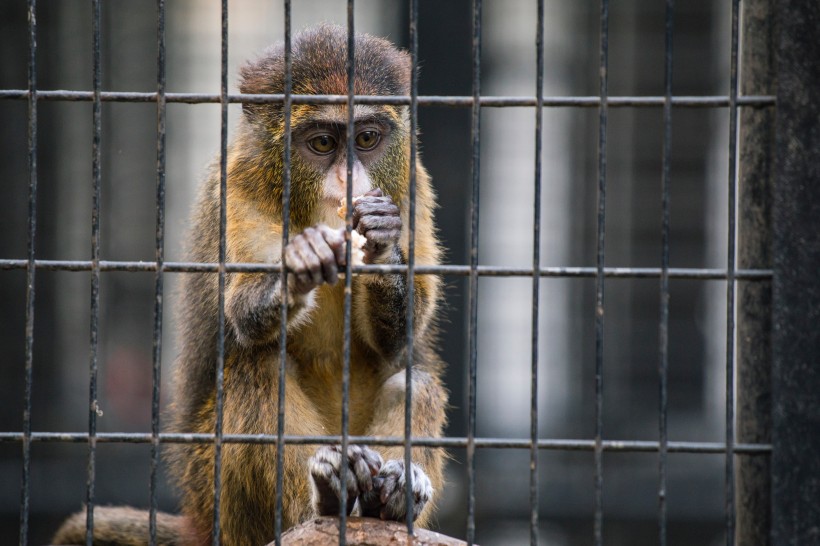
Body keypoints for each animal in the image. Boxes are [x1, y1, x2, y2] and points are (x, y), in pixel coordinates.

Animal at [52, 22, 448, 544]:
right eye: (323, 144)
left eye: (366, 138)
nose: (349, 181)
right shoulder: (238, 187)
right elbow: (245, 315)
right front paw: (300, 263)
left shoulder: (412, 185)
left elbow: (398, 338)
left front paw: (381, 240)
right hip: (216, 493)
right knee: (256, 366)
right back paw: (326, 500)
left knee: (414, 382)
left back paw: (389, 501)